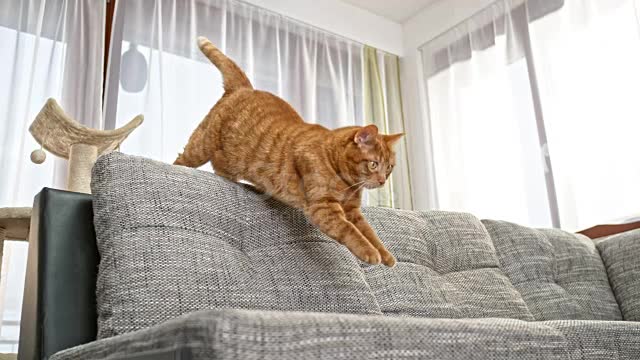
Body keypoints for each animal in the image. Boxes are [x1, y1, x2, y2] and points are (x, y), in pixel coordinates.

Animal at [175, 37, 402, 268]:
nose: (382, 180)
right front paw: (370, 252)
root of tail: (246, 88)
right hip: (201, 145)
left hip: (229, 161)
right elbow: (352, 232)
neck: (347, 184)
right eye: (373, 164)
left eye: (389, 168)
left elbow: (370, 233)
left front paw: (385, 254)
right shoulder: (324, 207)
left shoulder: (353, 211)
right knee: (181, 160)